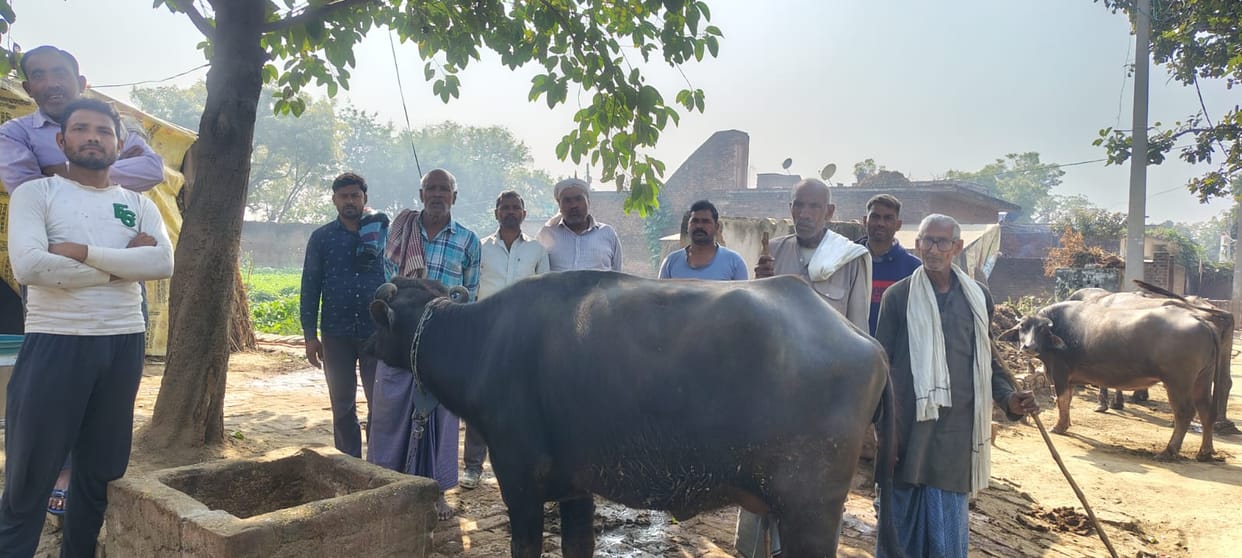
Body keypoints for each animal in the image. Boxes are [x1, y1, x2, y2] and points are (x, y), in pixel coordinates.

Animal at [365, 272, 902, 558]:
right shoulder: (575, 488)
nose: (367, 343)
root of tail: (868, 341)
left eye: (383, 319)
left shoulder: (519, 482)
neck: (484, 343)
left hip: (810, 509)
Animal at [1005, 296, 1226, 461]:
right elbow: (1067, 401)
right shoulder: (1068, 379)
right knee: (1206, 411)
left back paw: (1169, 451)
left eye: (1042, 329)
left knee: (1185, 412)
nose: (1029, 347)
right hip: (1202, 379)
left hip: (1178, 382)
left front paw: (1058, 427)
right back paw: (1205, 452)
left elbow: (1062, 400)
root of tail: (1199, 318)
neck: (1060, 332)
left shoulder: (1060, 373)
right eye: (1023, 327)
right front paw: (1065, 424)